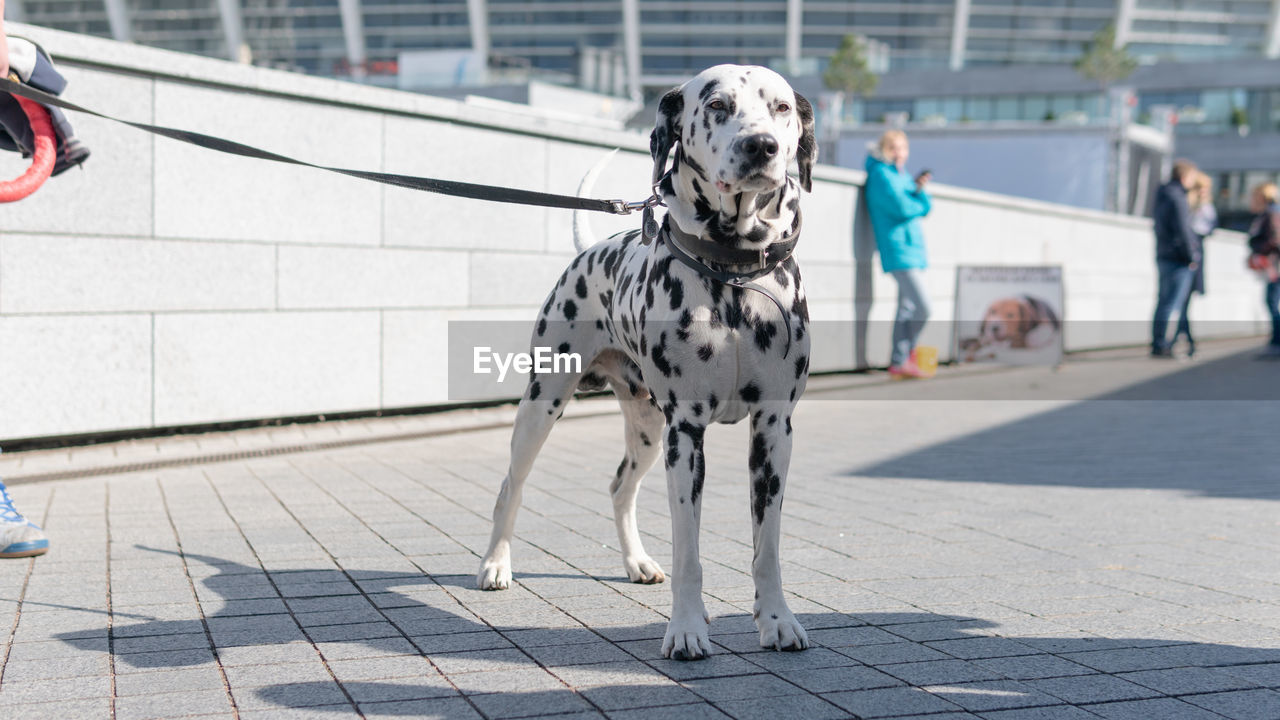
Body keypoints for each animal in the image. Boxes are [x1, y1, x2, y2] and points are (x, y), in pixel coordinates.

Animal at [476, 64, 814, 661]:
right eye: (718, 105)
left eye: (780, 108)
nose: (761, 146)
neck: (733, 275)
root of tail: (591, 248)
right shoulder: (687, 434)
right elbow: (688, 553)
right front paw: (686, 628)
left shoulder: (774, 430)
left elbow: (767, 547)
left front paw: (777, 620)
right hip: (543, 406)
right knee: (510, 487)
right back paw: (496, 564)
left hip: (647, 429)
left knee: (619, 488)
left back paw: (636, 563)